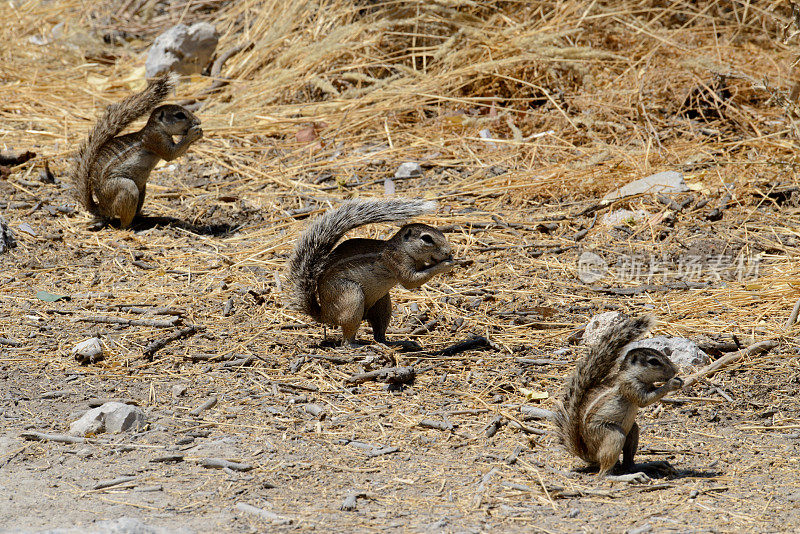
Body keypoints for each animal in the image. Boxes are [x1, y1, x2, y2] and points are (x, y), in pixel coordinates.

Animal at [71, 73, 203, 228]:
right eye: (180, 115)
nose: (198, 121)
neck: (156, 127)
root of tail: (102, 207)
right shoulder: (155, 139)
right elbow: (170, 155)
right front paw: (193, 133)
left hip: (142, 190)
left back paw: (147, 219)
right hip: (127, 188)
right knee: (123, 223)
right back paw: (133, 227)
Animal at [288, 200, 456, 348]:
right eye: (426, 238)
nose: (449, 251)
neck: (402, 248)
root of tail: (324, 314)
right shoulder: (396, 261)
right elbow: (410, 281)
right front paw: (445, 265)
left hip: (383, 304)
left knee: (379, 335)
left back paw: (398, 343)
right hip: (352, 298)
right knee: (346, 341)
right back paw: (358, 346)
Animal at [552, 316, 684, 484]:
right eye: (653, 361)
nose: (675, 370)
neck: (632, 374)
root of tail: (587, 453)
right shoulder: (629, 386)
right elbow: (644, 400)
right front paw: (672, 383)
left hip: (632, 430)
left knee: (628, 463)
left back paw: (652, 465)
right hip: (613, 435)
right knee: (603, 474)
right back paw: (630, 477)